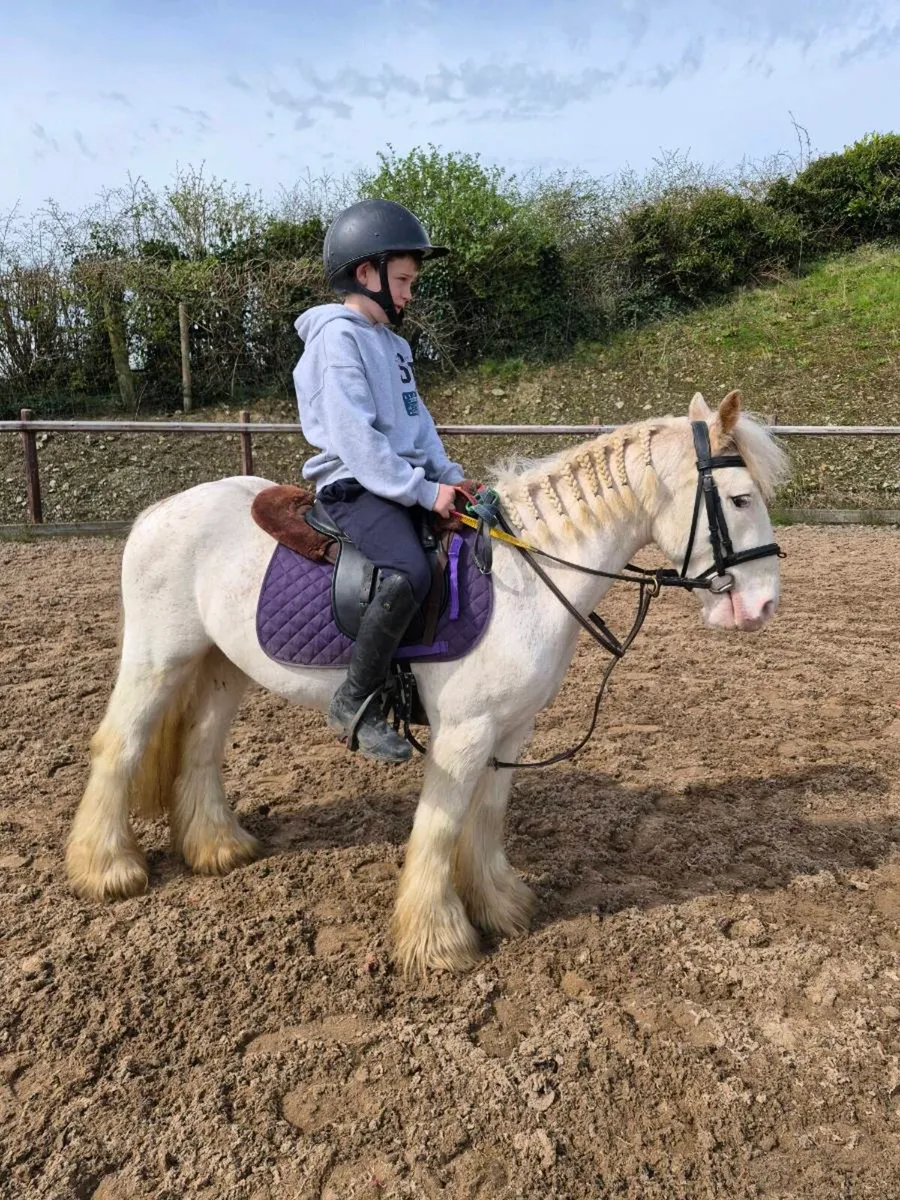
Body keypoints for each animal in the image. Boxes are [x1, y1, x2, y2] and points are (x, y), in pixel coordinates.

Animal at [66, 390, 787, 974]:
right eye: (740, 498)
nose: (762, 607)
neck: (526, 577)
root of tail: (160, 510)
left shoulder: (512, 728)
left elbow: (487, 816)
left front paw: (501, 905)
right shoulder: (464, 731)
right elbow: (440, 826)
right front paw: (438, 941)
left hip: (222, 667)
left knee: (200, 749)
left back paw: (217, 848)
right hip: (159, 658)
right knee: (120, 745)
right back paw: (107, 868)